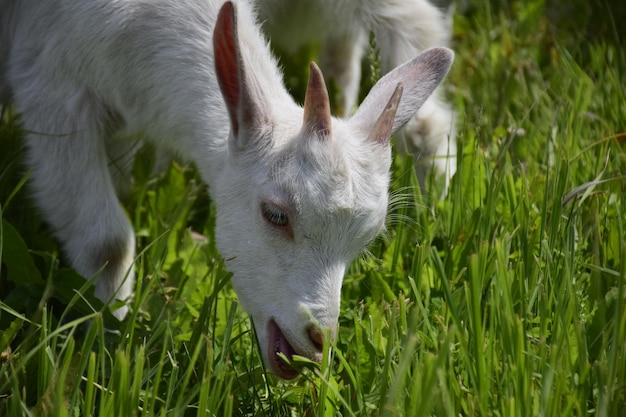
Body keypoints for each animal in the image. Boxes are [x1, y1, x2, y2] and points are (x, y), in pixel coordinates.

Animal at [0, 0, 450, 376]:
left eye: (367, 241)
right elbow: (107, 243)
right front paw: (111, 333)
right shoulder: (51, 85)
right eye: (275, 215)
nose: (318, 341)